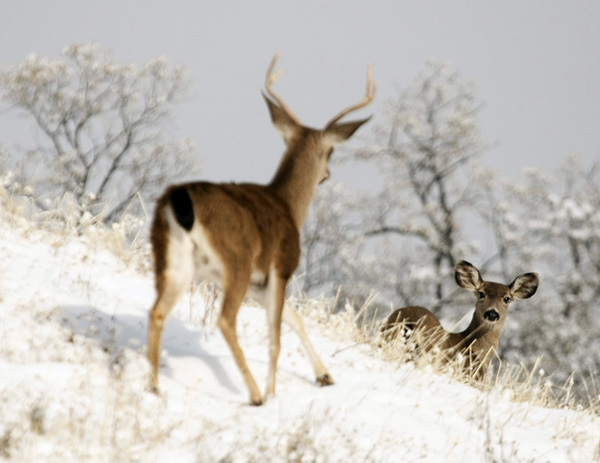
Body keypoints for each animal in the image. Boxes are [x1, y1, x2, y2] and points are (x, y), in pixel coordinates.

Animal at [148, 54, 372, 404]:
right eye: (331, 151)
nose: (327, 175)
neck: (287, 206)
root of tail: (177, 198)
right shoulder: (281, 268)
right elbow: (276, 336)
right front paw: (273, 392)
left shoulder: (259, 283)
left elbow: (294, 318)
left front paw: (324, 375)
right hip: (235, 260)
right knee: (226, 321)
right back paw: (255, 395)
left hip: (172, 258)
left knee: (157, 312)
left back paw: (154, 386)